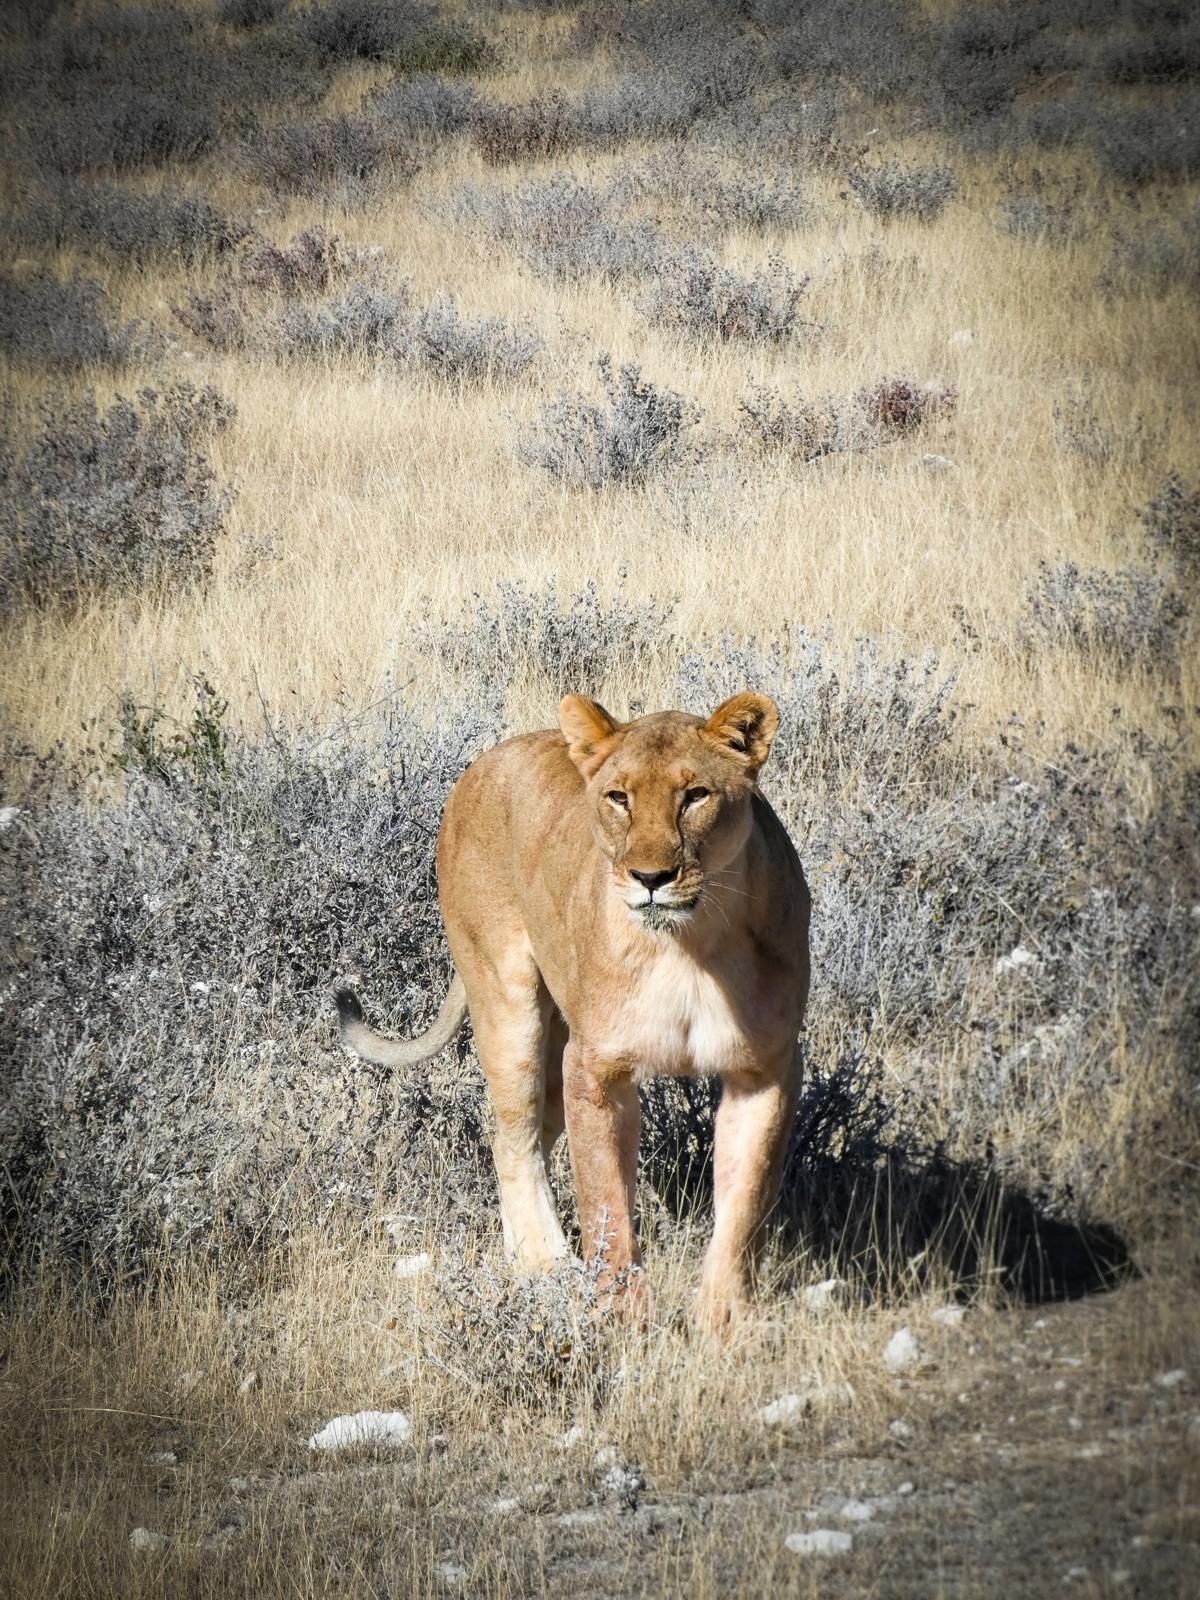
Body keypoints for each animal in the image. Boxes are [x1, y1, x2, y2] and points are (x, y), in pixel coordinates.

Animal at [336, 692, 810, 1328]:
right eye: (618, 797)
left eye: (695, 795)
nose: (651, 878)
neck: (692, 946)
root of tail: (481, 762)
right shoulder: (596, 1069)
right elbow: (605, 1198)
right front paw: (621, 1317)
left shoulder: (765, 1069)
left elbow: (745, 1200)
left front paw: (723, 1322)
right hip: (507, 1001)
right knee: (512, 1136)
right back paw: (543, 1264)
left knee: (531, 1132)